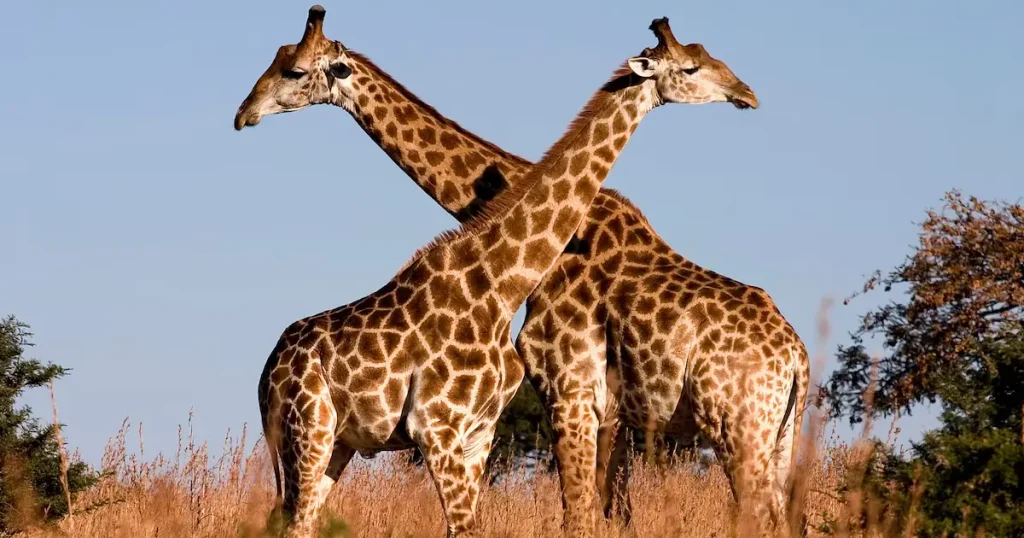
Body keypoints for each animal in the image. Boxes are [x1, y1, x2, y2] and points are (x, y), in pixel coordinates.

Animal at [234, 7, 788, 536]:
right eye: (693, 65)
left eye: (293, 69)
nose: (244, 114)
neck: (499, 277)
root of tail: (798, 358)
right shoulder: (509, 414)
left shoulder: (520, 414)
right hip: (313, 432)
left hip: (747, 431)